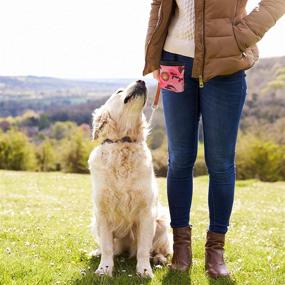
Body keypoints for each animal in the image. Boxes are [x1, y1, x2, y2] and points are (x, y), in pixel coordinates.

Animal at [86, 79, 171, 276]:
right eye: (119, 91)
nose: (142, 80)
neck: (123, 143)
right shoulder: (102, 211)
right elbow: (107, 247)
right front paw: (104, 269)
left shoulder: (147, 212)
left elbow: (143, 248)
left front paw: (144, 270)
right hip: (95, 221)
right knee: (111, 248)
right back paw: (97, 252)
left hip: (162, 221)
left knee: (161, 249)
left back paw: (159, 258)